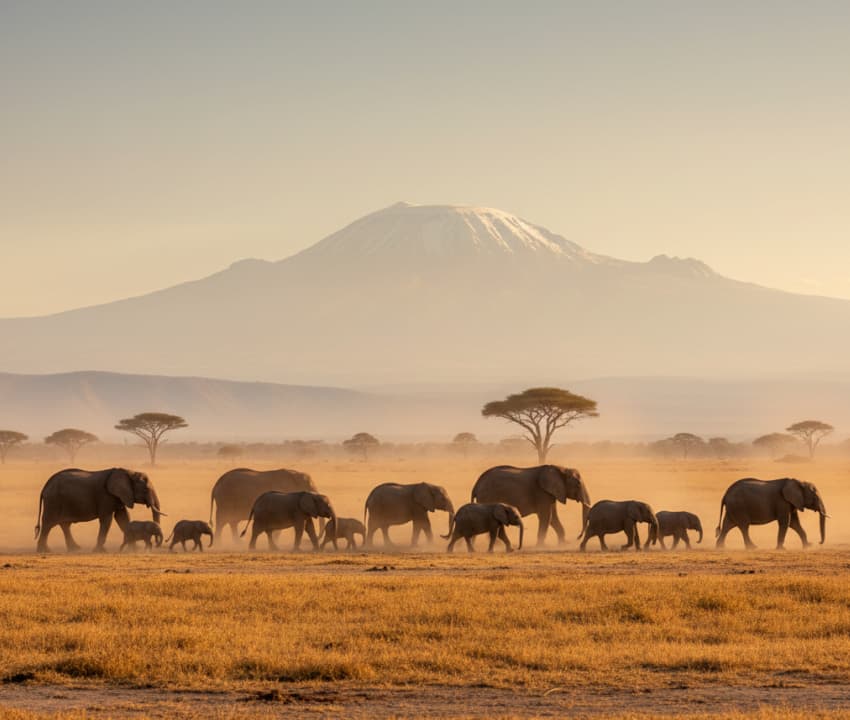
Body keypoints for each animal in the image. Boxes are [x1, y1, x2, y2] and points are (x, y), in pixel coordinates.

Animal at [35, 467, 165, 552]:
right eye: (145, 490)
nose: (156, 545)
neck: (129, 471)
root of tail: (45, 486)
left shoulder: (118, 496)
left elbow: (122, 517)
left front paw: (134, 548)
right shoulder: (105, 496)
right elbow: (107, 519)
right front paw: (100, 551)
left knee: (64, 524)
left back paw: (75, 549)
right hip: (53, 501)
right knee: (48, 524)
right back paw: (44, 551)